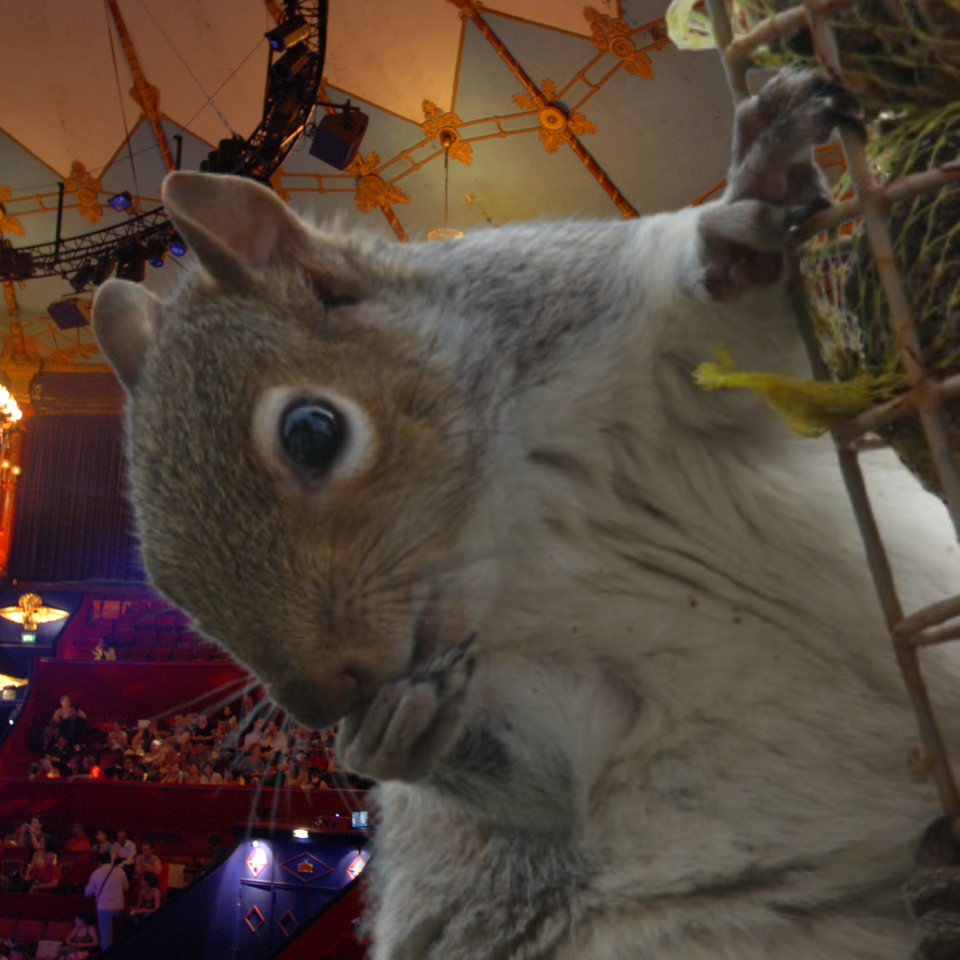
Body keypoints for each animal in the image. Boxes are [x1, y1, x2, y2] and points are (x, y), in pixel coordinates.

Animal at [92, 71, 960, 960]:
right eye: (165, 585)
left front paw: (750, 211)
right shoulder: (549, 686)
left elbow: (734, 328)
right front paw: (396, 736)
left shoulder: (641, 346)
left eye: (311, 431)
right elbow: (552, 769)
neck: (517, 537)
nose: (327, 700)